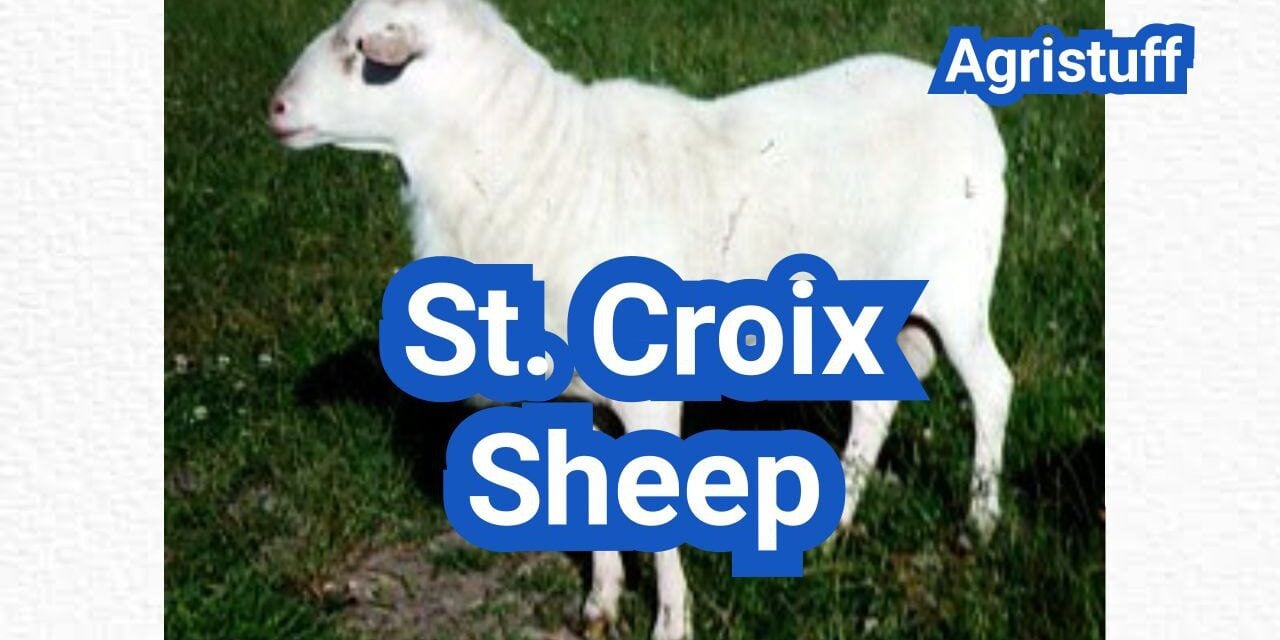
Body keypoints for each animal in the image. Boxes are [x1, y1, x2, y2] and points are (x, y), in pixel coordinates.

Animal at [270, 1, 1013, 638]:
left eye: (359, 51)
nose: (273, 107)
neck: (530, 173)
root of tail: (967, 103)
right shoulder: (575, 396)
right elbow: (590, 499)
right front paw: (600, 605)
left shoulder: (648, 391)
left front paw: (671, 622)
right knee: (875, 404)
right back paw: (833, 533)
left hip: (957, 285)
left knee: (991, 387)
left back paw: (977, 525)